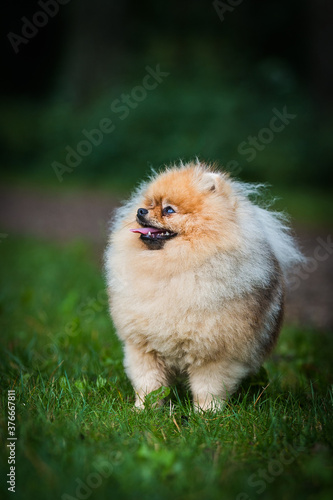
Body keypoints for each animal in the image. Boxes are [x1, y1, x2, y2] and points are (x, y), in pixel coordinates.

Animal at [104, 160, 304, 410]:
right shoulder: (143, 347)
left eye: (168, 210)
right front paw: (143, 410)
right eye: (149, 204)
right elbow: (149, 384)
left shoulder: (214, 354)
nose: (140, 211)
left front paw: (206, 413)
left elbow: (208, 388)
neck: (173, 269)